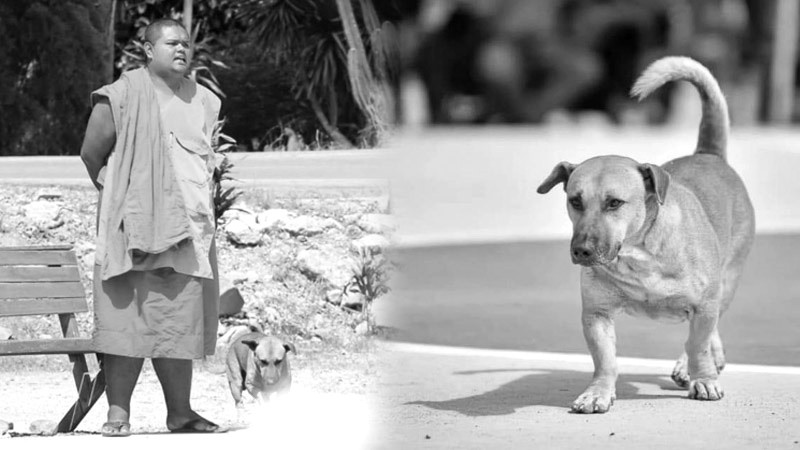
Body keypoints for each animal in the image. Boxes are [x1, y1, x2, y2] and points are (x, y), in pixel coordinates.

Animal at [536, 57, 756, 414]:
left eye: (614, 202)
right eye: (575, 201)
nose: (582, 250)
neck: (639, 253)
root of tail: (709, 154)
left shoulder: (705, 304)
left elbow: (697, 343)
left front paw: (702, 377)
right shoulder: (596, 314)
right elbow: (605, 360)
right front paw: (598, 392)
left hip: (729, 279)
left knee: (707, 329)